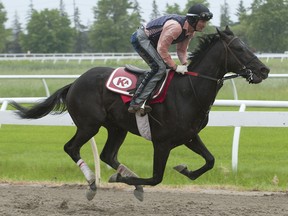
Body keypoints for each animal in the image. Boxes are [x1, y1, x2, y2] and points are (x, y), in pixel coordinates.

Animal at [10, 26, 268, 201]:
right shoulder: (162, 142)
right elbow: (156, 178)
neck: (188, 90)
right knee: (71, 148)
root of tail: (74, 83)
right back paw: (93, 182)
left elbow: (210, 161)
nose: (264, 70)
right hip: (89, 125)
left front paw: (184, 169)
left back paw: (125, 181)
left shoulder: (189, 136)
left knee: (108, 155)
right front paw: (121, 179)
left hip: (117, 127)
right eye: (239, 48)